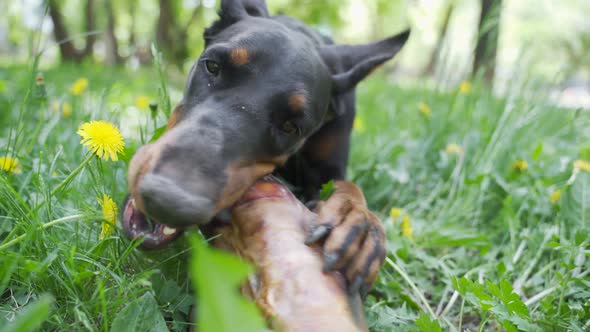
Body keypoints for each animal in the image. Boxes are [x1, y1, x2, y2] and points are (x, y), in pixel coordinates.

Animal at [122, 0, 410, 296]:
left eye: (291, 126)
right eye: (212, 65)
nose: (167, 200)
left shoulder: (331, 166)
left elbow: (349, 186)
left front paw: (358, 222)